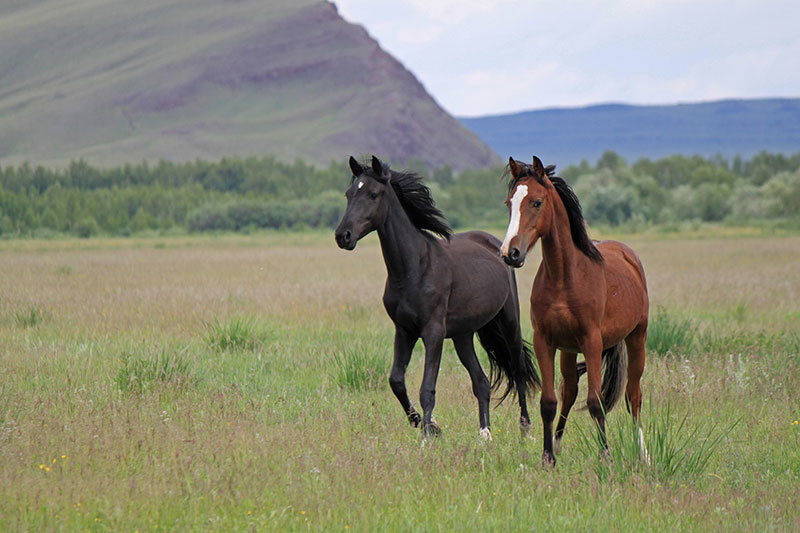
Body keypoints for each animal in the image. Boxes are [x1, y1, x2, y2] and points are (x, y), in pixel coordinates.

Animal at [334, 156, 540, 438]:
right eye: (348, 193)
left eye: (373, 194)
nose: (342, 236)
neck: (414, 268)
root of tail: (500, 247)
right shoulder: (404, 331)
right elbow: (396, 381)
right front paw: (429, 425)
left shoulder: (433, 332)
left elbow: (427, 388)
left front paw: (427, 436)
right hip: (463, 335)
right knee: (481, 381)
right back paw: (484, 434)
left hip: (509, 323)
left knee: (518, 370)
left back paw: (525, 429)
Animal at [504, 156, 648, 464]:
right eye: (510, 202)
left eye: (537, 202)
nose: (510, 253)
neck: (564, 276)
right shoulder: (545, 341)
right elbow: (549, 401)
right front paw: (548, 456)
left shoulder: (592, 341)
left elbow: (596, 402)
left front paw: (605, 456)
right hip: (569, 352)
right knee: (569, 391)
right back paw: (558, 444)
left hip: (636, 338)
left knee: (633, 395)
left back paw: (641, 450)